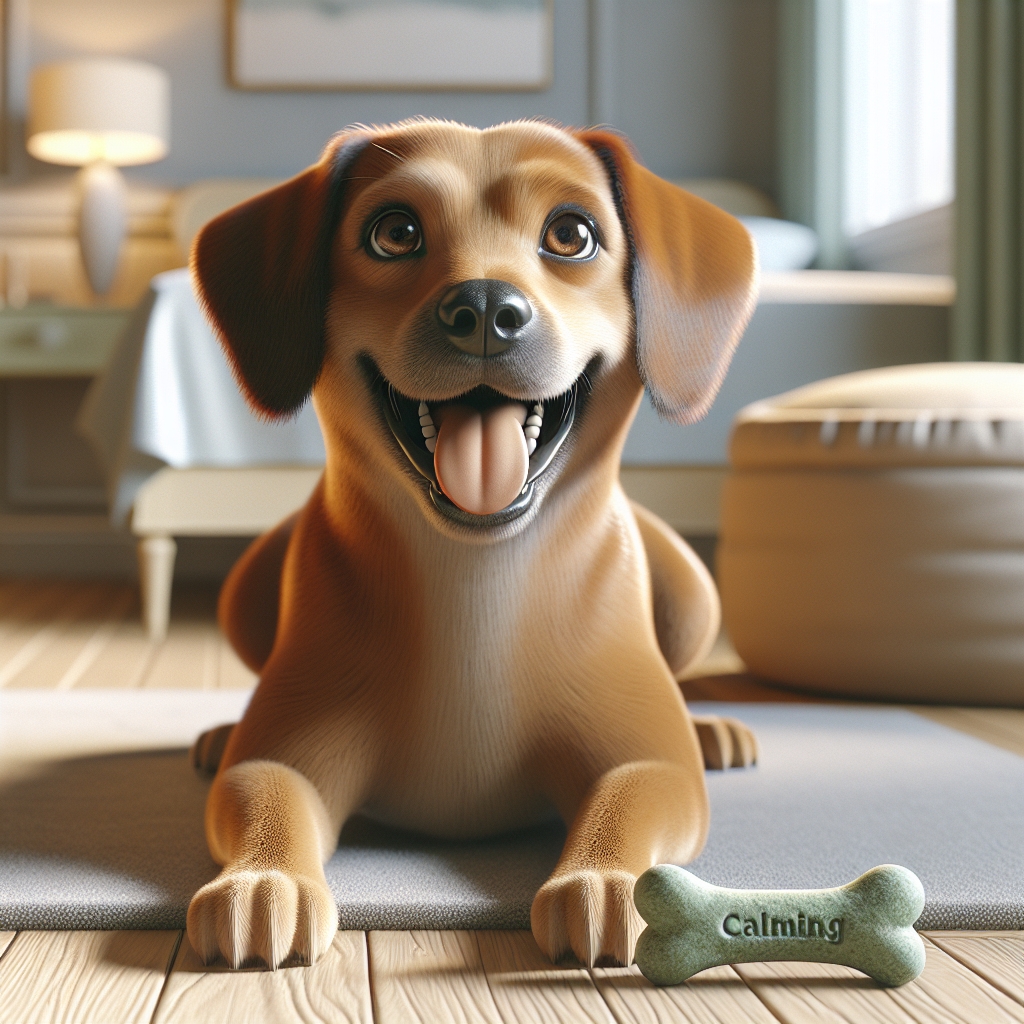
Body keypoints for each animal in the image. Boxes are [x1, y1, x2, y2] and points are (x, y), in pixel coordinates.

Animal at [184, 117, 761, 966]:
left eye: (572, 233)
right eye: (394, 232)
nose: (485, 308)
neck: (473, 580)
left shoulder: (647, 760)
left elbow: (634, 796)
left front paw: (604, 879)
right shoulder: (283, 754)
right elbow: (263, 795)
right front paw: (265, 879)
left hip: (693, 598)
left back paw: (716, 730)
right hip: (246, 595)